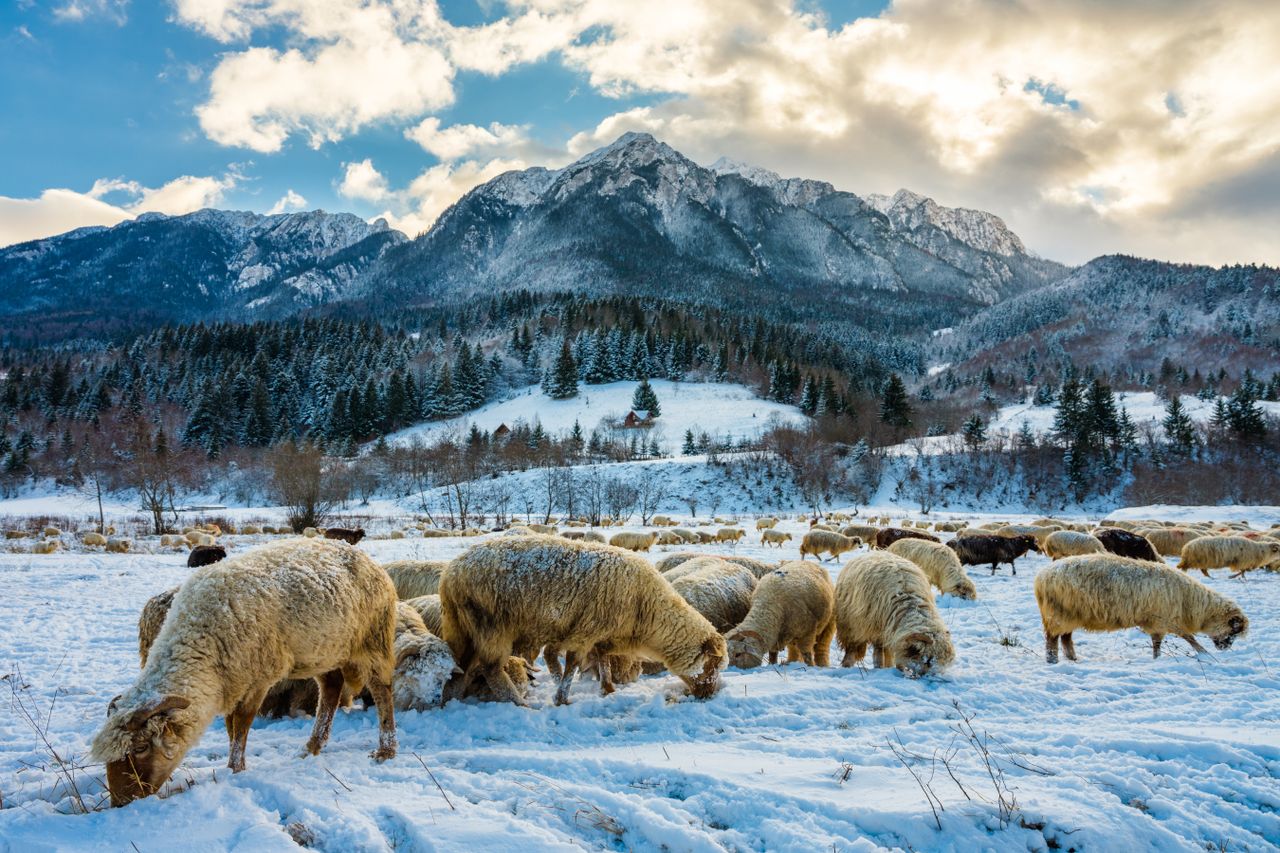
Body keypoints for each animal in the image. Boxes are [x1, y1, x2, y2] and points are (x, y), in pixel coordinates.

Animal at [94, 537, 396, 804]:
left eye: (140, 748)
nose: (120, 803)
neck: (200, 637)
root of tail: (365, 558)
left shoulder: (257, 677)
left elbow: (241, 724)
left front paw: (234, 768)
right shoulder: (232, 681)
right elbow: (230, 727)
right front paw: (233, 765)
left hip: (372, 638)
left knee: (382, 690)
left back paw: (386, 750)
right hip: (322, 649)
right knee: (331, 688)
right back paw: (311, 748)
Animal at [440, 532, 727, 701]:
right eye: (711, 665)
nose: (709, 694)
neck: (647, 609)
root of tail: (450, 574)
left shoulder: (598, 633)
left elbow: (601, 660)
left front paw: (607, 689)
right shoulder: (585, 630)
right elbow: (572, 664)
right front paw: (562, 698)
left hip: (462, 628)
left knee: (460, 670)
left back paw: (449, 702)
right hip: (490, 625)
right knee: (491, 670)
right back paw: (519, 704)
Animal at [1034, 550, 1244, 666]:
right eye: (1233, 630)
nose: (1225, 648)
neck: (1191, 603)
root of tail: (1041, 578)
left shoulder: (1158, 624)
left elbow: (1157, 643)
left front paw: (1156, 658)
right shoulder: (1166, 620)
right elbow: (1189, 637)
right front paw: (1204, 653)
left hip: (1070, 615)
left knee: (1065, 639)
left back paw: (1072, 659)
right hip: (1059, 614)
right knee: (1052, 640)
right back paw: (1053, 661)